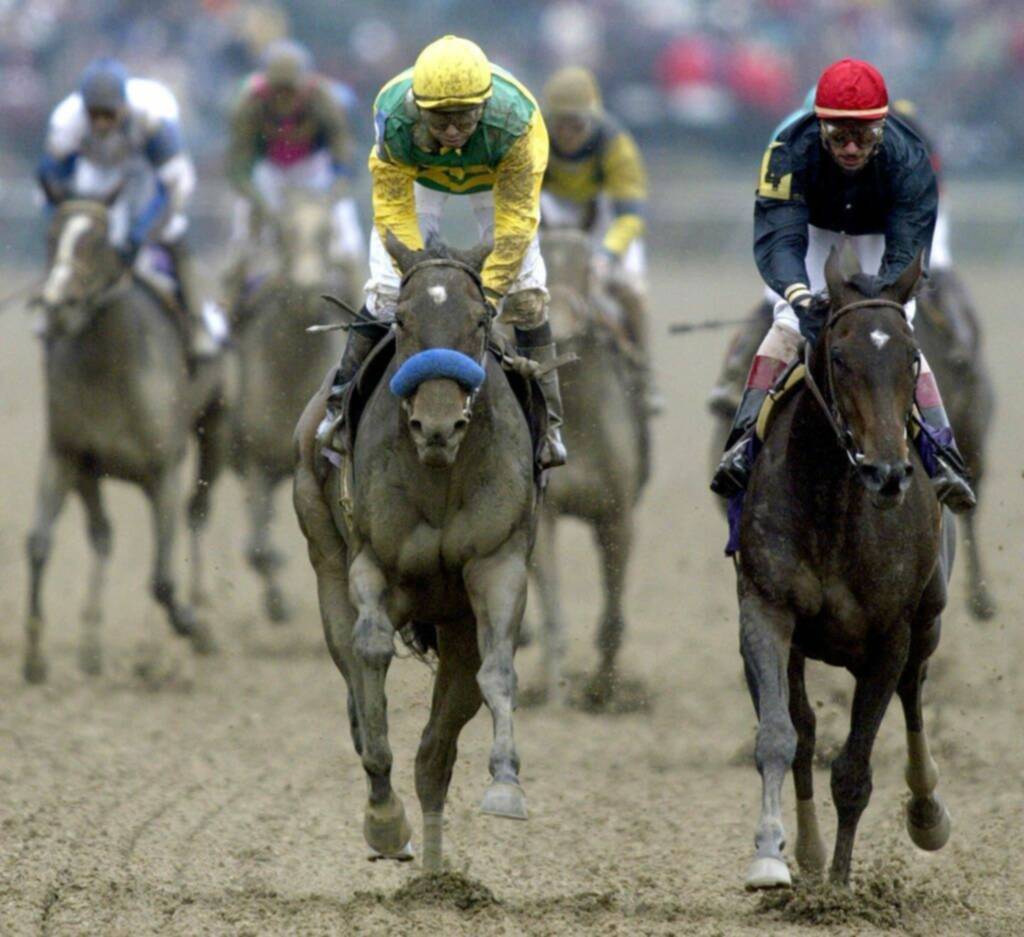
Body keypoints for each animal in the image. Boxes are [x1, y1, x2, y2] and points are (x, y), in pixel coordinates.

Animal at [23, 201, 226, 679]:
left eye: (99, 242)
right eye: (51, 236)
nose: (56, 306)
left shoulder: (163, 471)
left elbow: (162, 578)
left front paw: (189, 624)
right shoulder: (67, 455)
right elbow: (40, 543)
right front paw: (35, 657)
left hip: (216, 428)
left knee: (197, 512)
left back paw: (193, 623)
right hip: (88, 474)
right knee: (103, 535)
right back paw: (93, 647)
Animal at [737, 248, 950, 884]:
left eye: (911, 356)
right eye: (837, 356)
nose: (887, 474)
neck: (834, 501)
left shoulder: (890, 635)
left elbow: (855, 771)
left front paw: (838, 887)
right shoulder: (765, 608)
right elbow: (780, 736)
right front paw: (774, 858)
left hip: (927, 620)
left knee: (913, 694)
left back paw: (927, 810)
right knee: (806, 731)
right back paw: (805, 855)